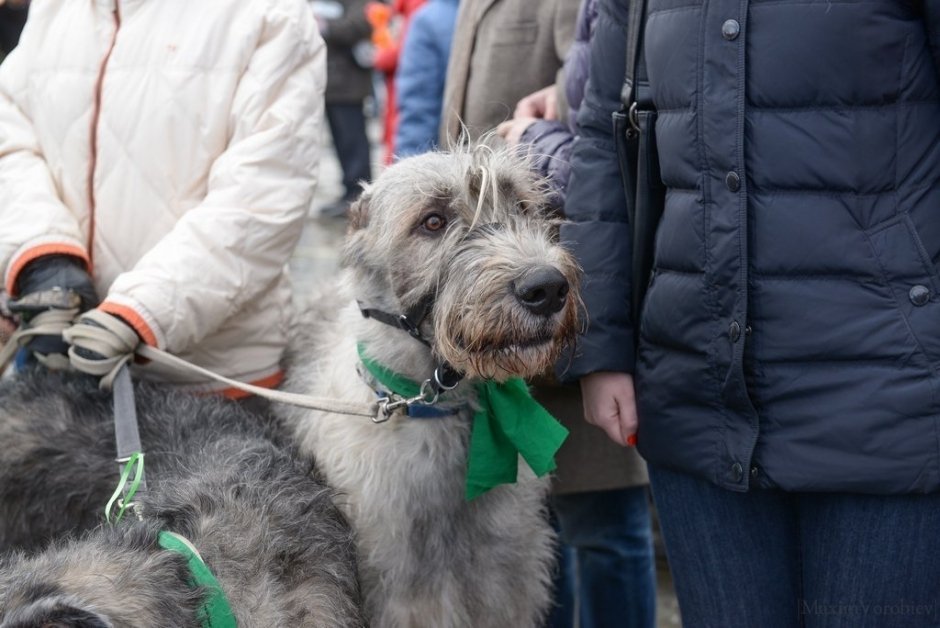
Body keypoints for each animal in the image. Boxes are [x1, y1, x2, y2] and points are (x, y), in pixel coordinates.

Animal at [280, 144, 580, 628]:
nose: (548, 287)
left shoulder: (506, 588)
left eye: (520, 206)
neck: (434, 407)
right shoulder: (402, 597)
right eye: (433, 221)